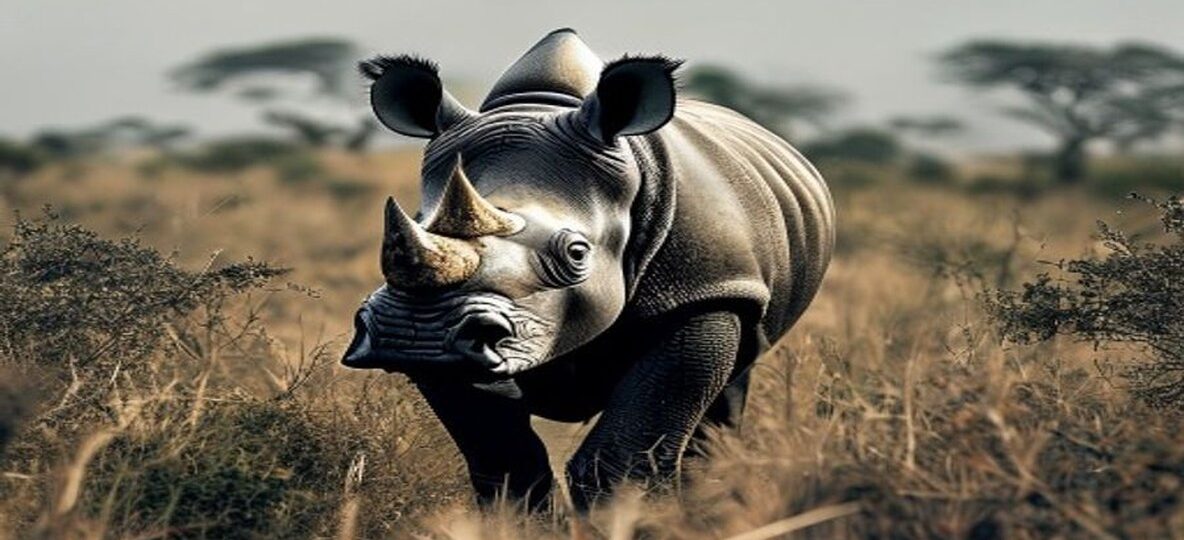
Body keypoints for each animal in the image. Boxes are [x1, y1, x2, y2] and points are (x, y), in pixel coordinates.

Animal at [342, 29, 834, 509]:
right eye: (414, 224)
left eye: (577, 254)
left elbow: (625, 455)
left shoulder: (707, 290)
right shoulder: (455, 350)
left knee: (731, 387)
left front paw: (635, 517)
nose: (416, 332)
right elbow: (502, 457)